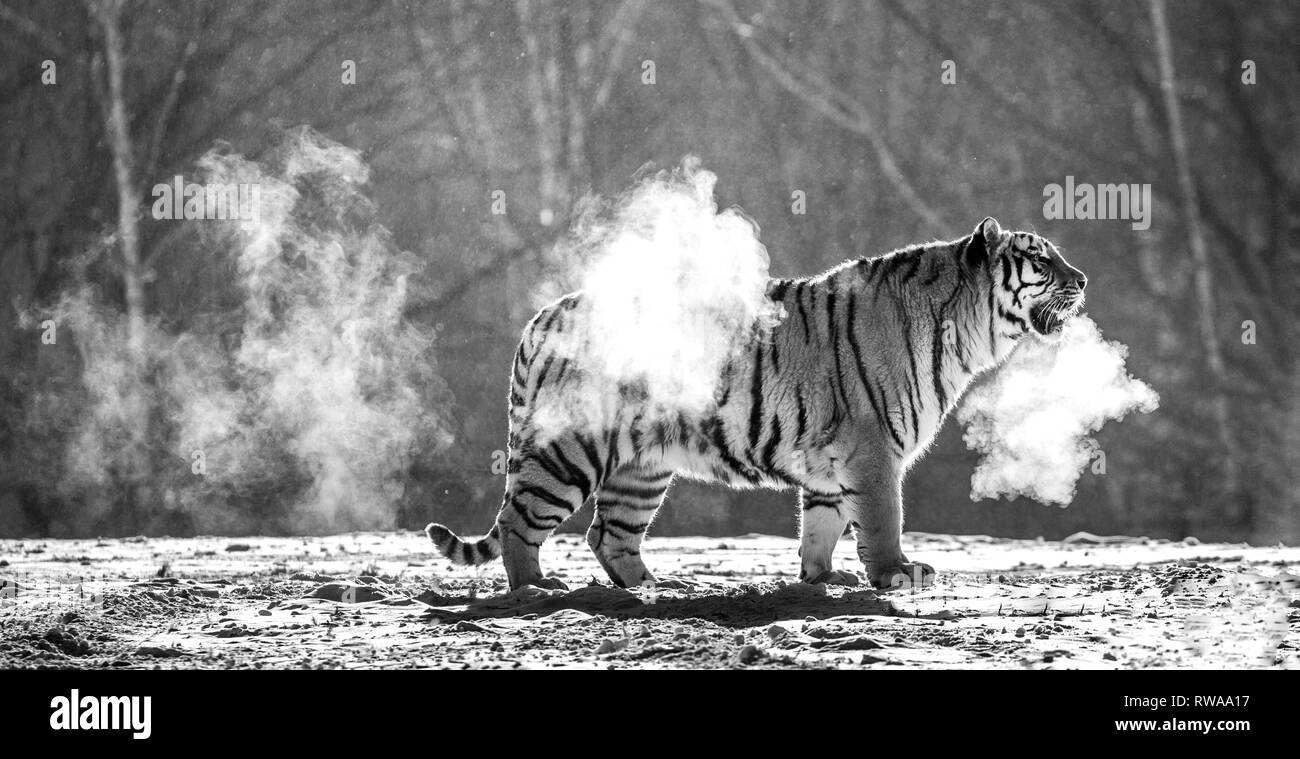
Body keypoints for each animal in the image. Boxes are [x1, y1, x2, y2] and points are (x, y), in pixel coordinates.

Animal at [426, 217, 1086, 590]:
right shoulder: (874, 451)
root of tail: (542, 315)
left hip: (641, 468)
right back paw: (537, 590)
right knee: (521, 522)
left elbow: (822, 523)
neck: (965, 330)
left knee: (608, 533)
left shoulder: (833, 461)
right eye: (1042, 259)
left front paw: (821, 579)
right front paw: (896, 574)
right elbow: (883, 518)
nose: (1083, 279)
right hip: (569, 447)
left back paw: (653, 588)